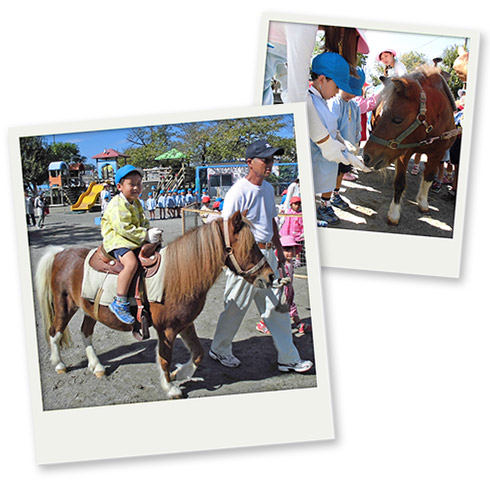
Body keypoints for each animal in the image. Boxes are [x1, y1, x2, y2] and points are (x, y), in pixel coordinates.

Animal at [35, 212, 274, 400]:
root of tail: (61, 252)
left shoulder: (185, 324)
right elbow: (165, 358)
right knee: (55, 332)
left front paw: (181, 374)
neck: (177, 275)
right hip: (65, 306)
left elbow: (198, 353)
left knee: (86, 332)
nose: (270, 276)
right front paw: (170, 387)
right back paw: (59, 364)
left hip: (89, 309)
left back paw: (97, 367)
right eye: (251, 246)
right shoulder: (166, 330)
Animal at [360, 65, 460, 225]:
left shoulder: (437, 154)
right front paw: (394, 213)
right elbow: (400, 182)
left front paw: (423, 202)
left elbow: (429, 177)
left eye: (397, 120)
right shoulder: (404, 153)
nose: (366, 156)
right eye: (381, 115)